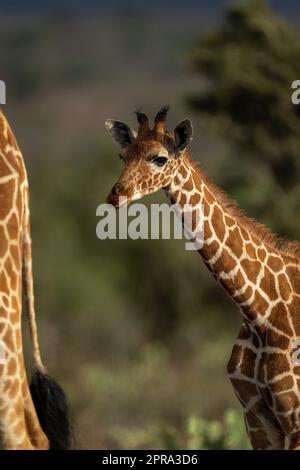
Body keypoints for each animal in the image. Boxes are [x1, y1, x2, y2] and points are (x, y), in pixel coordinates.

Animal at [105, 107, 300, 452]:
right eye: (123, 155)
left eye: (159, 158)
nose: (116, 196)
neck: (259, 309)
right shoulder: (256, 420)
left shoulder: (295, 420)